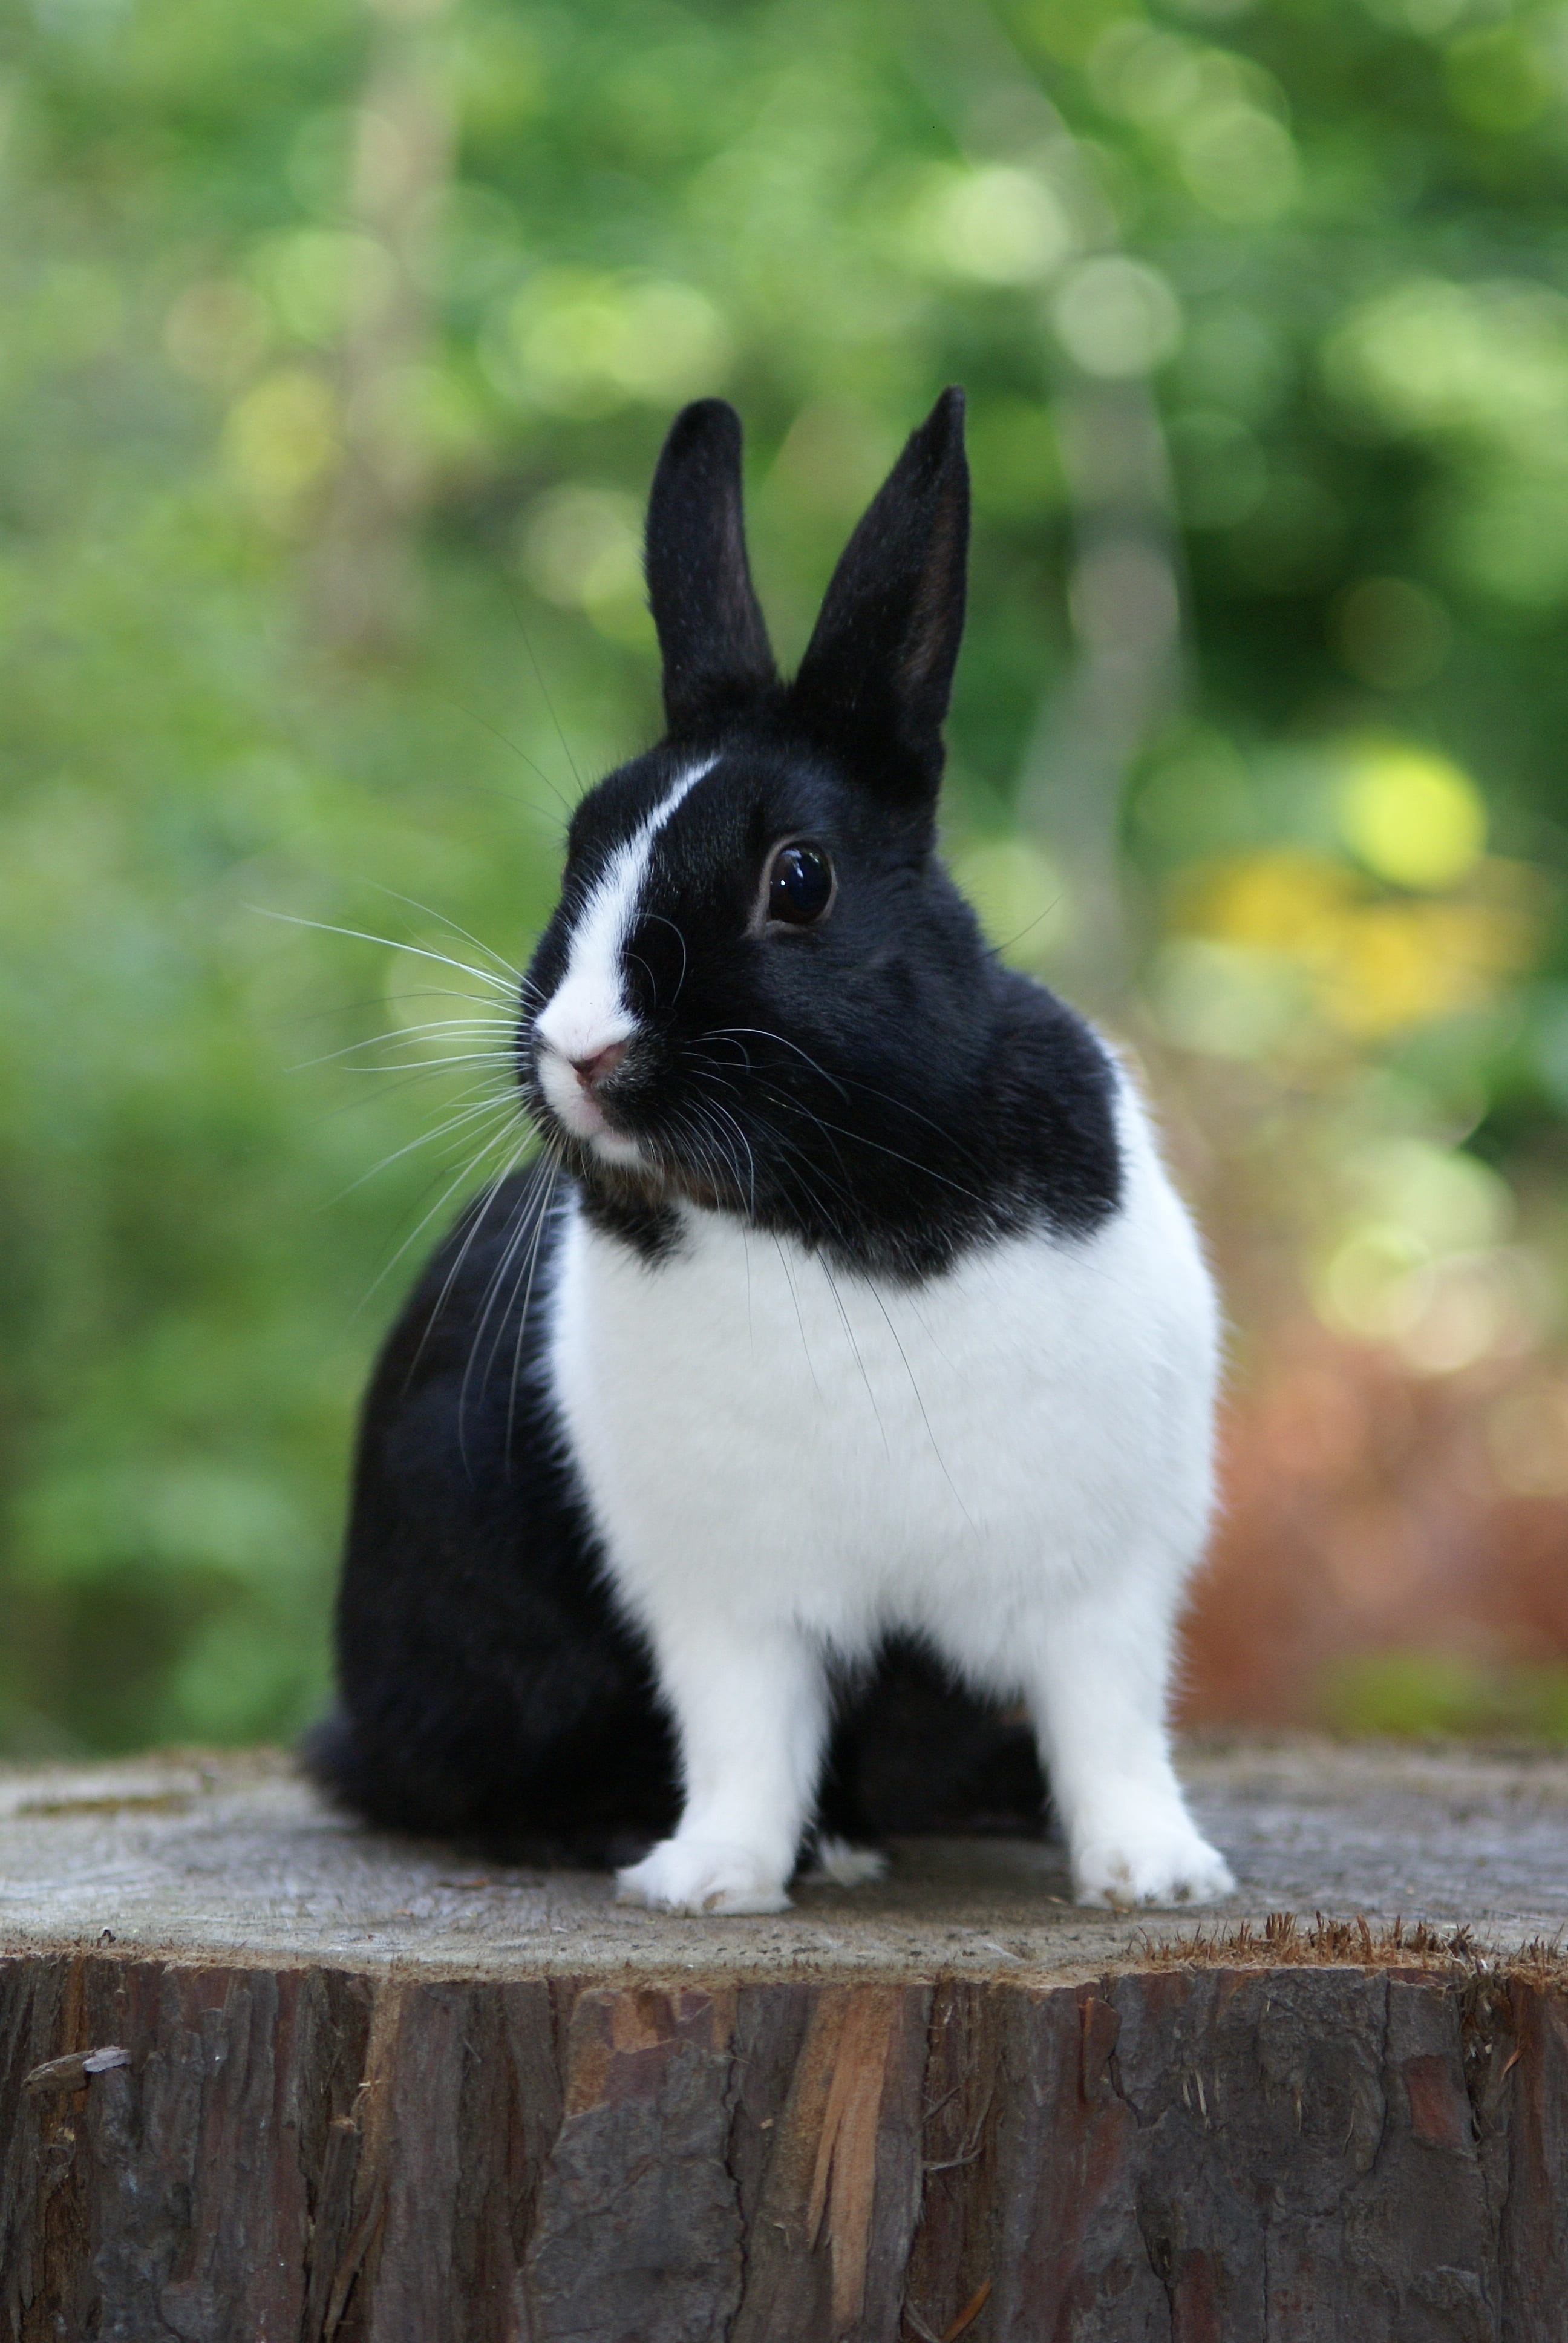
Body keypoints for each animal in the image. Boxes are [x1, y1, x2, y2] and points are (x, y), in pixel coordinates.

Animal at [309, 386, 1236, 1916]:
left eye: (796, 880)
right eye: (575, 856)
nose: (579, 1049)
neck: (832, 1212)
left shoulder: (1101, 1575)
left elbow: (1110, 1725)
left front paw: (1156, 1873)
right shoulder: (726, 1600)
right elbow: (747, 1738)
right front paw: (709, 1880)